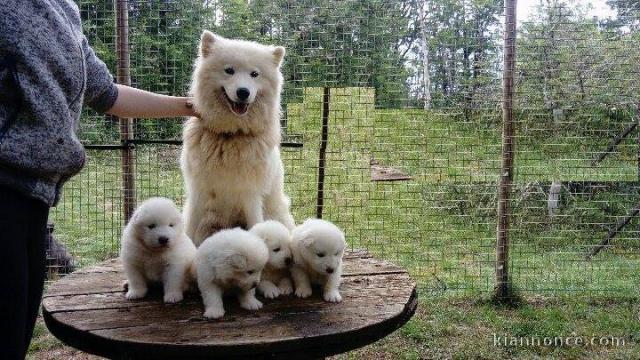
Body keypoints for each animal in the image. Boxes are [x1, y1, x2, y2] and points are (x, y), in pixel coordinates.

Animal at [181, 31, 296, 246]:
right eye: (229, 70)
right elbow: (189, 232)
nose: (243, 92)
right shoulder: (199, 193)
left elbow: (256, 226)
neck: (231, 135)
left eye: (254, 74)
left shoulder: (250, 195)